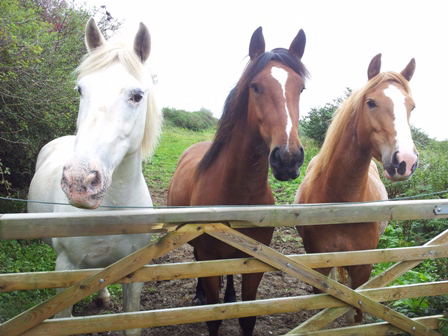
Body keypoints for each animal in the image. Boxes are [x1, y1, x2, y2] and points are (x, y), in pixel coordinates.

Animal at [27, 18, 163, 336]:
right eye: (80, 90)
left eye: (137, 96)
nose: (80, 182)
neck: (114, 208)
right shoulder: (65, 269)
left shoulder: (134, 270)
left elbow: (131, 322)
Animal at [166, 26, 310, 336]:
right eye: (255, 86)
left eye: (301, 88)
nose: (288, 158)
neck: (238, 193)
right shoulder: (210, 256)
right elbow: (213, 317)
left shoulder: (254, 261)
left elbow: (247, 317)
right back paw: (198, 295)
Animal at [296, 54, 418, 322]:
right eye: (371, 102)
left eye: (412, 107)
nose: (405, 161)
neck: (341, 204)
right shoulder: (318, 263)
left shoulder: (362, 266)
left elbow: (357, 315)